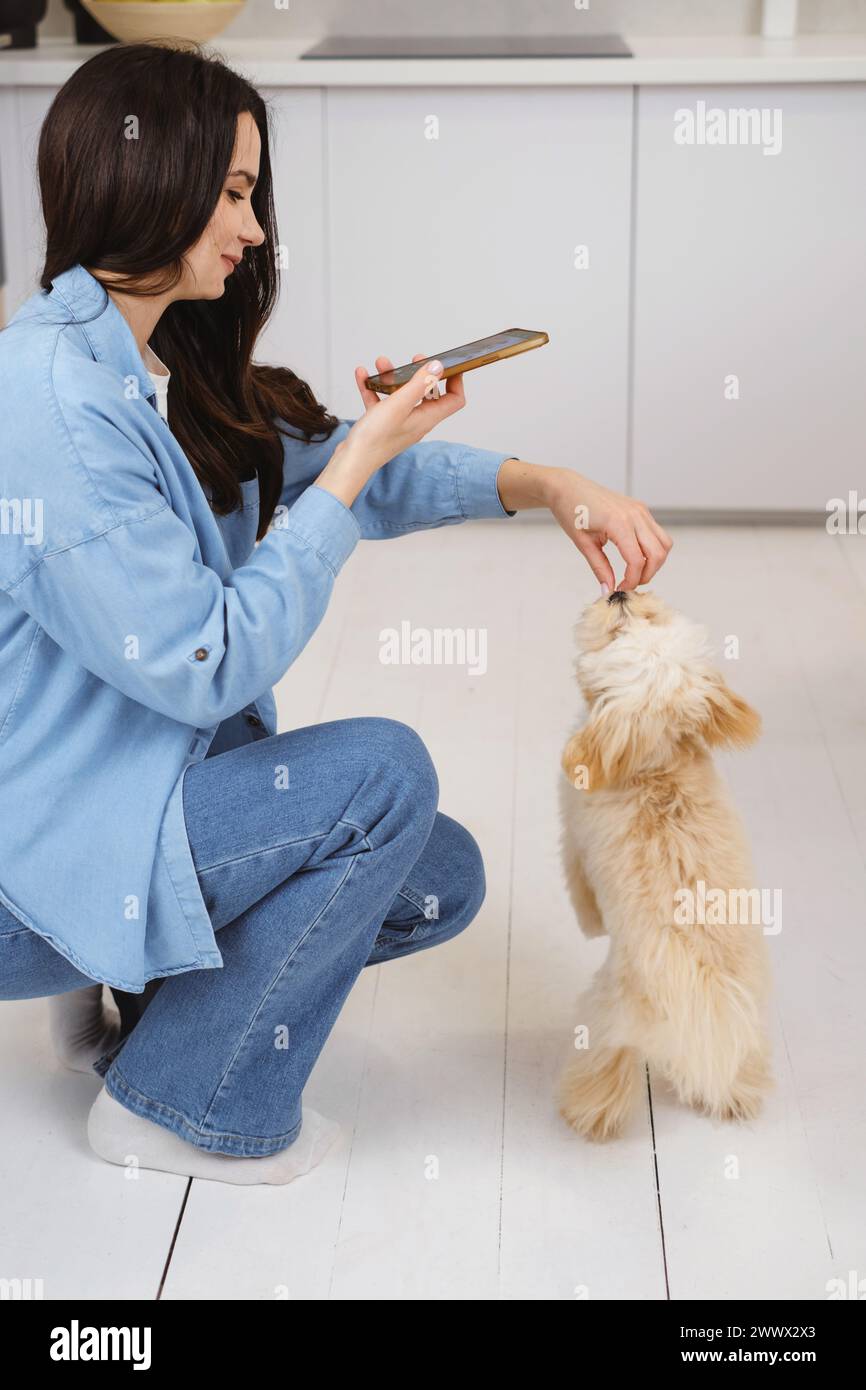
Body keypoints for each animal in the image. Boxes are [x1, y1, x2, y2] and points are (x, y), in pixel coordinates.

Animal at [558, 586, 778, 1139]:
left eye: (630, 623)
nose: (619, 590)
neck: (657, 763)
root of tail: (709, 1002)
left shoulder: (571, 830)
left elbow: (578, 886)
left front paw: (589, 923)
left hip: (610, 1016)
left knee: (607, 1070)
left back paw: (586, 1114)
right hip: (747, 1020)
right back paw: (738, 1096)